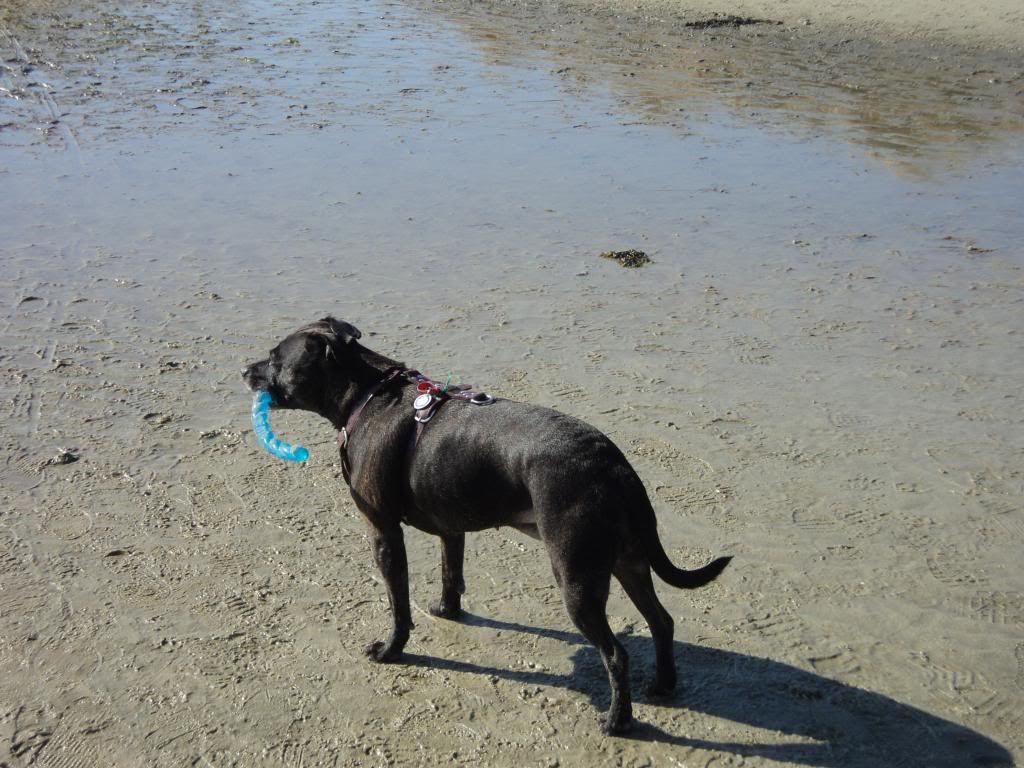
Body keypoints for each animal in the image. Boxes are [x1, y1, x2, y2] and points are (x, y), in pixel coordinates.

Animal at [243, 317, 733, 733]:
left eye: (275, 356)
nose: (244, 368)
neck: (367, 395)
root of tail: (613, 465)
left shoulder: (384, 533)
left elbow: (398, 604)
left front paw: (390, 650)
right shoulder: (451, 529)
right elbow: (450, 574)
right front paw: (447, 611)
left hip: (578, 579)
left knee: (616, 653)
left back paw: (618, 721)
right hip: (627, 563)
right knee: (661, 621)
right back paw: (664, 685)